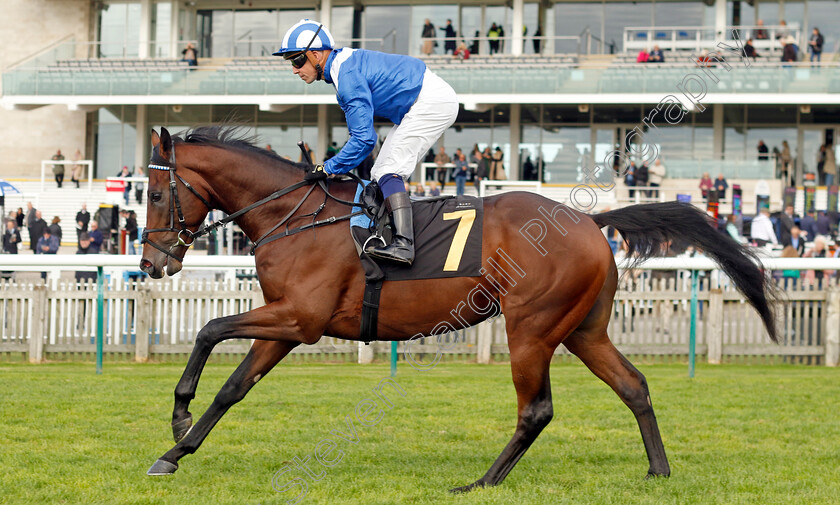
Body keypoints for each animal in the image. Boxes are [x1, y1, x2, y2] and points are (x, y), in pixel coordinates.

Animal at [141, 127, 776, 492]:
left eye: (151, 192)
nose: (151, 262)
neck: (296, 216)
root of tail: (589, 219)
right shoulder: (287, 322)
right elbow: (234, 388)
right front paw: (175, 452)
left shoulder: (302, 318)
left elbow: (209, 328)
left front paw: (178, 416)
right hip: (583, 331)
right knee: (634, 385)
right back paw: (658, 470)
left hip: (532, 328)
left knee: (536, 410)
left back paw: (481, 483)